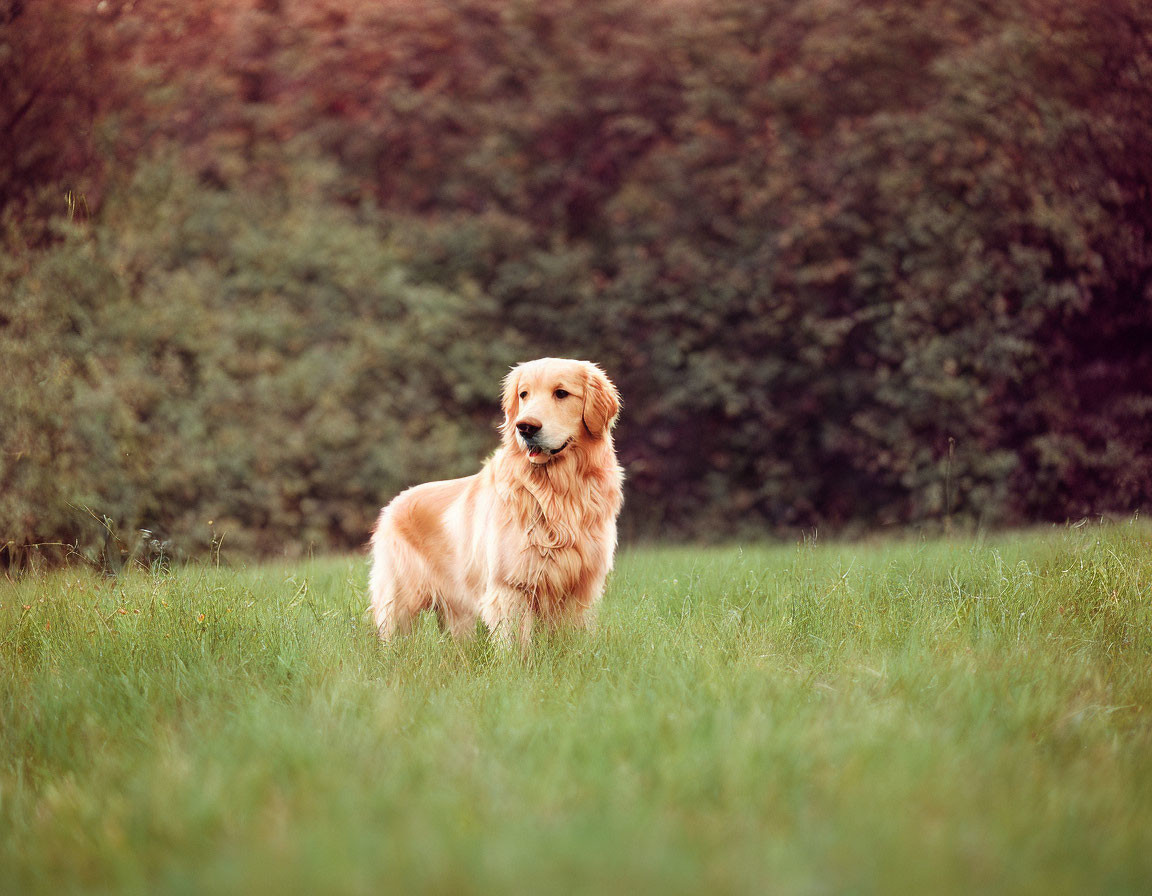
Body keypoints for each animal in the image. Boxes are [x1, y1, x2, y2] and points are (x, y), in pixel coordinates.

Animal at [366, 357, 622, 640]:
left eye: (562, 393)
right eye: (524, 394)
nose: (525, 427)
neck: (555, 492)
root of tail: (393, 503)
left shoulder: (580, 588)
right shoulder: (510, 587)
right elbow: (518, 645)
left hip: (457, 613)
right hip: (399, 603)